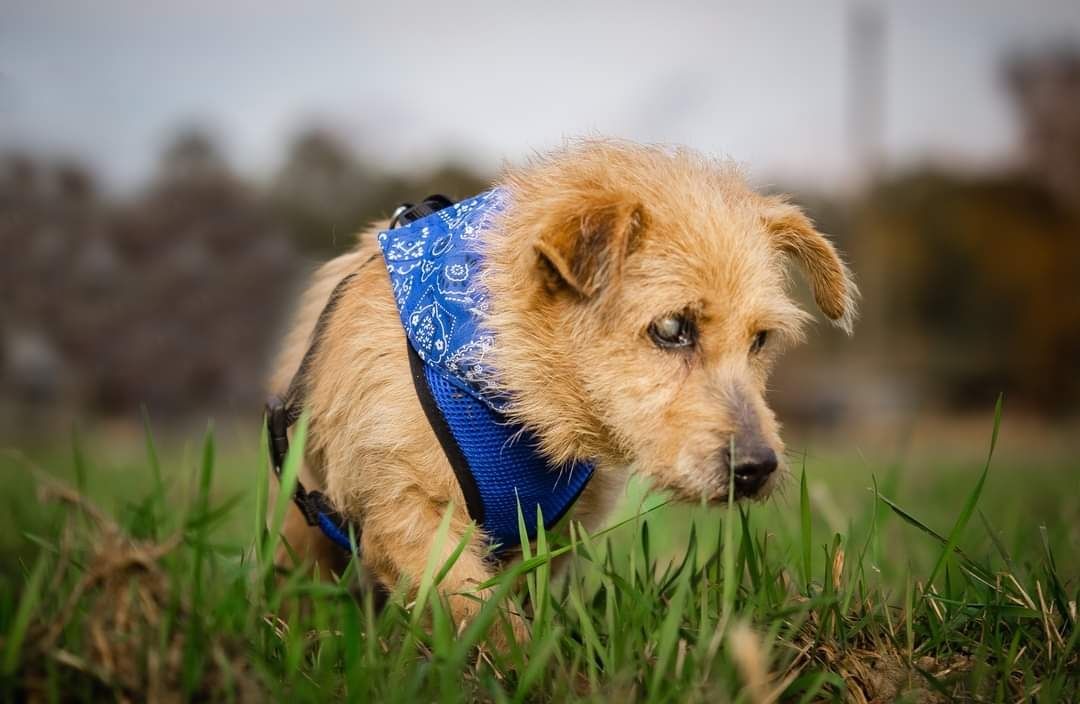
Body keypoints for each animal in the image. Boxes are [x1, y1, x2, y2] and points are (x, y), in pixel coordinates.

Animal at [265, 139, 855, 643]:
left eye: (760, 340)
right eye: (671, 327)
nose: (757, 467)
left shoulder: (554, 534)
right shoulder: (403, 513)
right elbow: (480, 616)